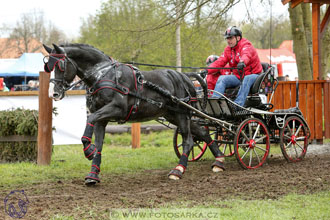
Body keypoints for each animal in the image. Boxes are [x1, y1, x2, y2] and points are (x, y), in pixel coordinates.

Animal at [43, 43, 224, 185]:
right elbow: (99, 142)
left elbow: (91, 121)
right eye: (49, 68)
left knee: (188, 140)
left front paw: (88, 150)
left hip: (183, 114)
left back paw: (178, 170)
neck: (104, 75)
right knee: (201, 132)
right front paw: (93, 173)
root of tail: (185, 76)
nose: (54, 93)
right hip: (173, 115)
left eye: (60, 66)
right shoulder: (102, 119)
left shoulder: (116, 108)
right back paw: (219, 160)